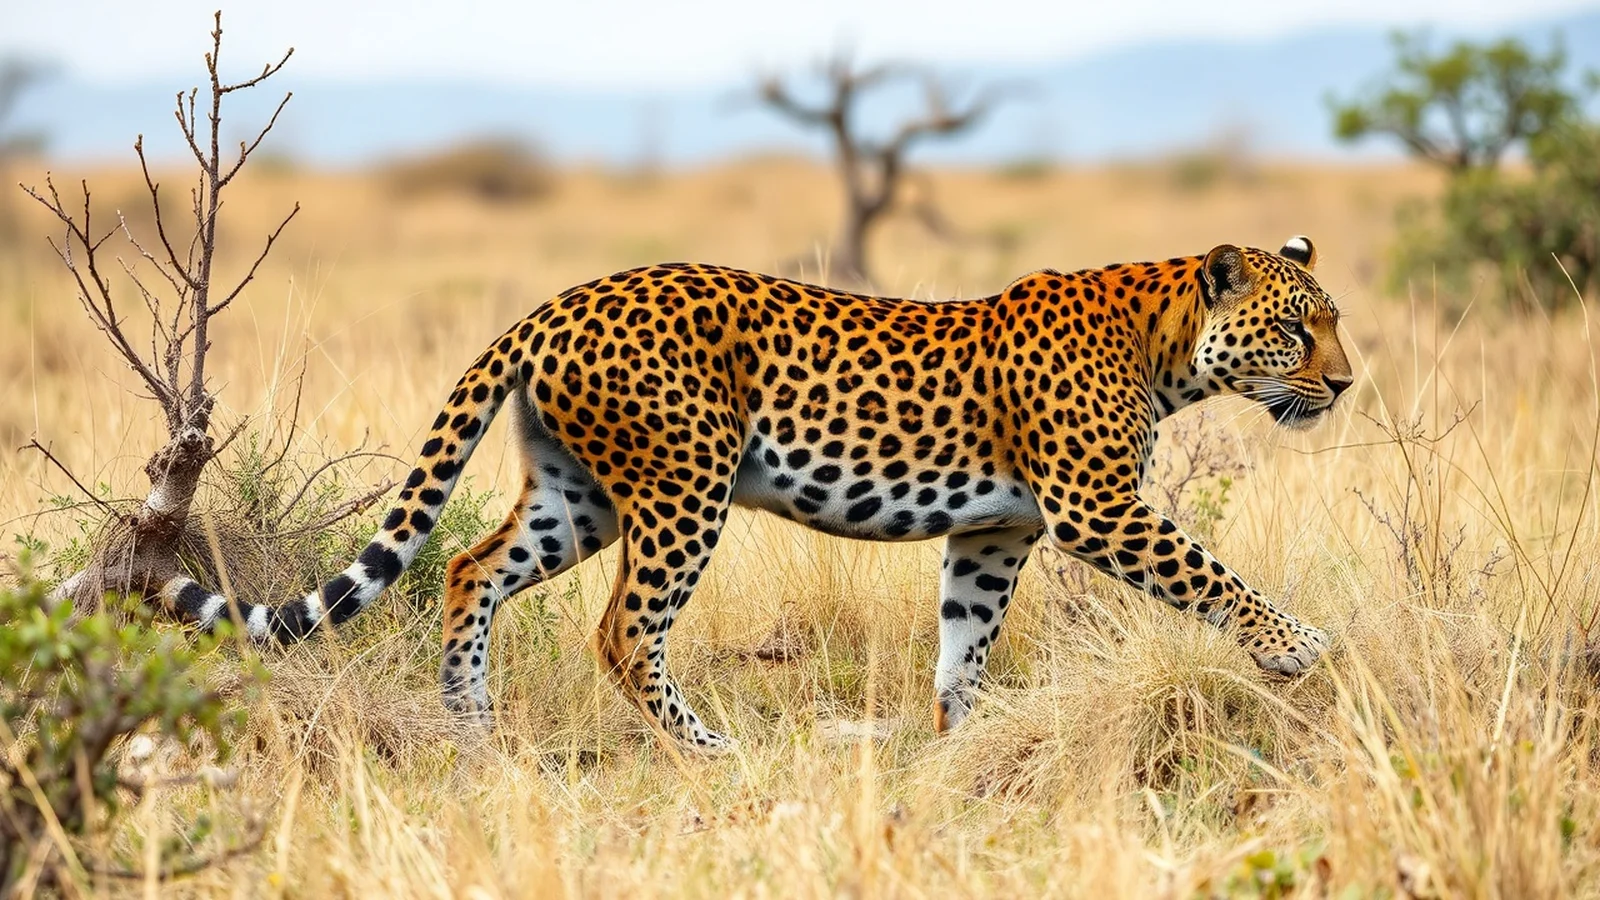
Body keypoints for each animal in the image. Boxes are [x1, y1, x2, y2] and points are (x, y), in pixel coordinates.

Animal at [158, 235, 1352, 751]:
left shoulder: (996, 535)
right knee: (623, 632)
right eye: (1300, 329)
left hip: (579, 497)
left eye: (1331, 322)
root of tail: (555, 302)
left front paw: (955, 743)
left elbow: (962, 645)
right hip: (684, 485)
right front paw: (1299, 649)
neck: (1166, 344)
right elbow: (1211, 575)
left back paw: (472, 728)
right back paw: (707, 752)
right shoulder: (1097, 509)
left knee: (467, 566)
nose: (1344, 383)